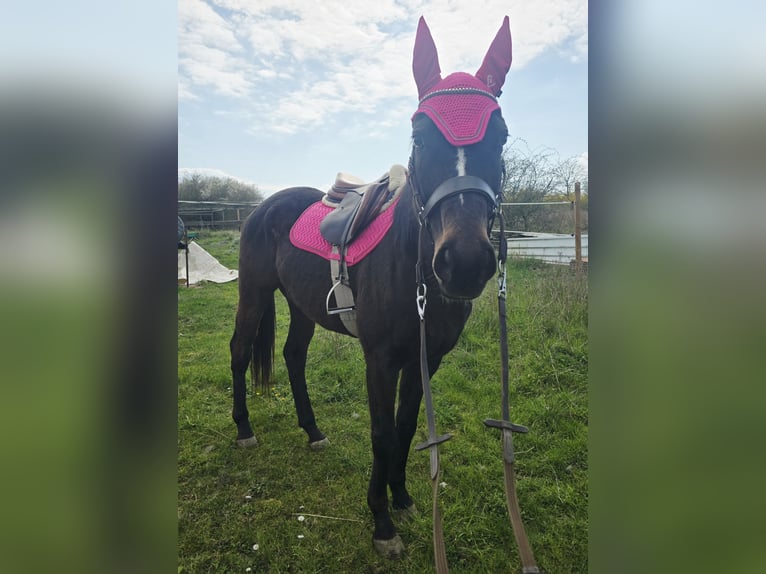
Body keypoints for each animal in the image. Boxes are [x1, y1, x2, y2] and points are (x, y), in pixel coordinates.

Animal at [229, 16, 513, 559]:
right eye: (419, 136)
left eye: (502, 136)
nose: (465, 263)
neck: (414, 272)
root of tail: (264, 207)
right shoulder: (379, 360)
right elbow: (382, 434)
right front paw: (381, 522)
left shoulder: (426, 358)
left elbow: (406, 427)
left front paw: (401, 497)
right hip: (252, 294)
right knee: (238, 350)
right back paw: (245, 429)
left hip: (301, 306)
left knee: (293, 354)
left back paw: (313, 430)